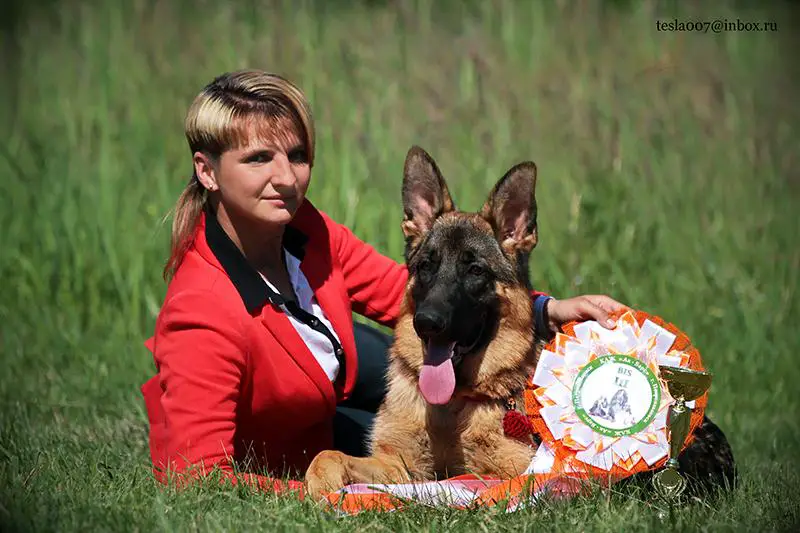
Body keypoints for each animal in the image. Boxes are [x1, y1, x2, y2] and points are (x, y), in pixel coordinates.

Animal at [304, 146, 737, 502]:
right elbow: (327, 454)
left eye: (475, 271)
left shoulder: (509, 471)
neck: (455, 405)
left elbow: (456, 482)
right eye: (426, 266)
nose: (428, 323)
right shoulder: (398, 464)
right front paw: (319, 486)